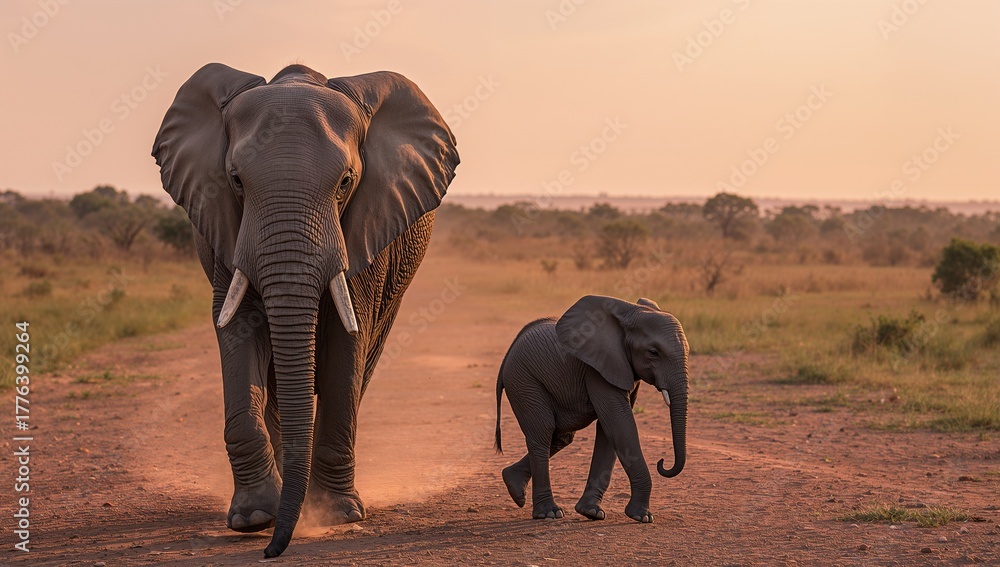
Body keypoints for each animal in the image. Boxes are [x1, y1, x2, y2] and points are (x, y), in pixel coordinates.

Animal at [152, 63, 458, 557]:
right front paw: (254, 517)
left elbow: (347, 338)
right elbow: (238, 331)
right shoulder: (227, 234)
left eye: (346, 182)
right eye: (236, 180)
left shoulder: (363, 232)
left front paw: (336, 515)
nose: (271, 551)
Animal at [494, 295, 688, 523]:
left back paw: (514, 486)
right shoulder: (597, 369)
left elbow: (610, 429)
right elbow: (619, 422)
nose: (662, 462)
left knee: (560, 437)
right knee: (543, 433)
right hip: (524, 381)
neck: (630, 312)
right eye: (653, 353)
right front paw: (642, 517)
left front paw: (591, 512)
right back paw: (548, 513)